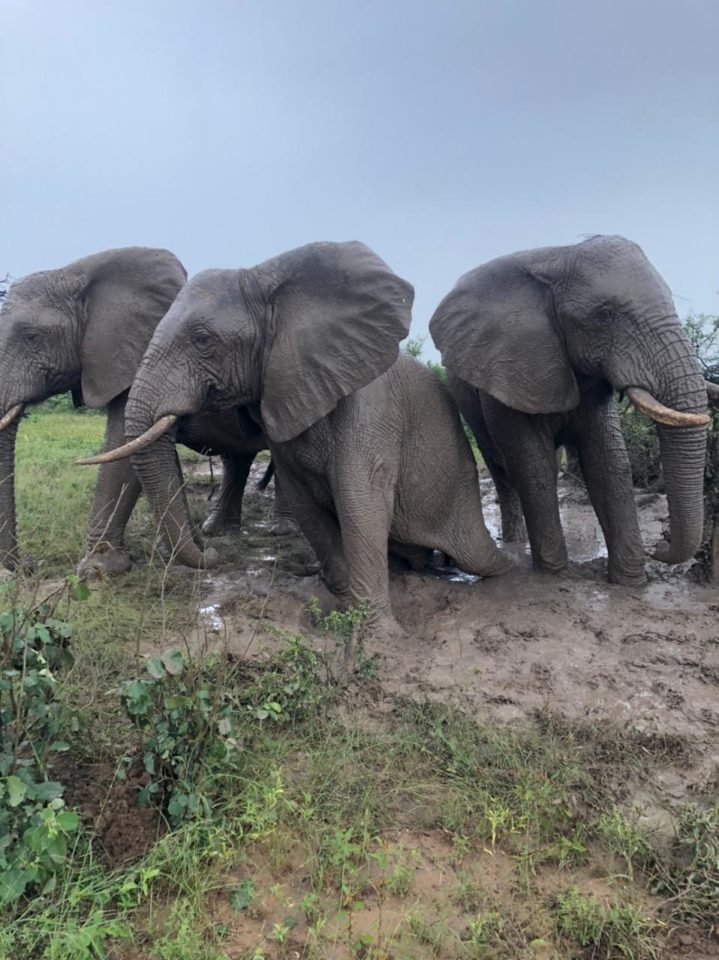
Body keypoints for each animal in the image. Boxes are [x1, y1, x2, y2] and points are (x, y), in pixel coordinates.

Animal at [0, 247, 278, 574]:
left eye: (31, 337)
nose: (27, 564)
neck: (77, 273)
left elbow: (122, 448)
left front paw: (98, 570)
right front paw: (182, 548)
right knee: (238, 459)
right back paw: (218, 531)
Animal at [81, 241, 512, 629]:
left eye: (203, 341)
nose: (212, 554)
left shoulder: (370, 410)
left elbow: (360, 502)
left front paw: (377, 634)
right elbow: (307, 502)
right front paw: (336, 598)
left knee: (474, 557)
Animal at [429, 235, 713, 585]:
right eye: (604, 315)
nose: (659, 546)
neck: (557, 257)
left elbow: (609, 462)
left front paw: (629, 582)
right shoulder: (508, 369)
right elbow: (533, 465)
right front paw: (555, 575)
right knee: (500, 466)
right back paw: (515, 543)